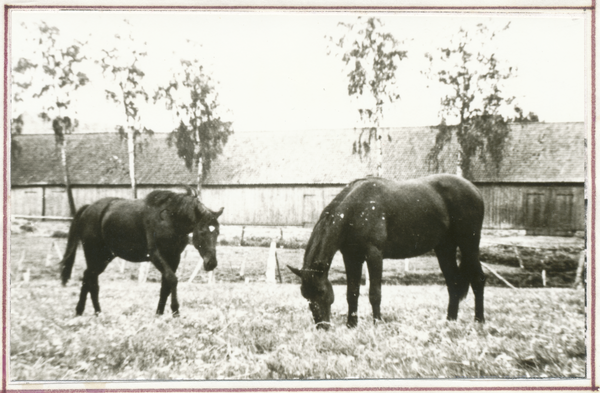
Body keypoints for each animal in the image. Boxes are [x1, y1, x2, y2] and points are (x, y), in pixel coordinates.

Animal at [59, 187, 224, 316]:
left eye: (217, 232)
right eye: (202, 232)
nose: (211, 263)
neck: (169, 219)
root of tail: (88, 208)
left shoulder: (173, 257)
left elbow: (165, 285)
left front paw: (159, 313)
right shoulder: (156, 255)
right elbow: (172, 279)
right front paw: (175, 311)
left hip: (104, 258)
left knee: (89, 277)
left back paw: (89, 312)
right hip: (94, 254)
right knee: (90, 279)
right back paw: (89, 311)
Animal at [288, 174, 486, 328]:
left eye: (321, 291)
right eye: (305, 295)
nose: (322, 326)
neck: (355, 210)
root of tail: (475, 190)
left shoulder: (374, 255)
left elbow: (375, 294)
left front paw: (377, 323)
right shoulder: (351, 257)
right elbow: (352, 292)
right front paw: (351, 325)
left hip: (468, 245)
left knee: (478, 280)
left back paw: (479, 321)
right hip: (445, 248)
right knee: (453, 283)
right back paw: (450, 321)